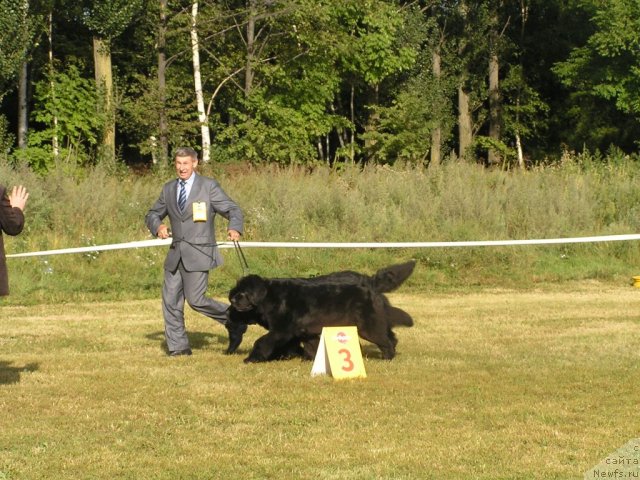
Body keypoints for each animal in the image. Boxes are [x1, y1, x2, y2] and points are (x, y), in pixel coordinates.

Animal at [225, 260, 416, 362]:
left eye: (243, 293)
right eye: (235, 292)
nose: (231, 301)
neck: (269, 297)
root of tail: (370, 284)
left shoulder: (282, 329)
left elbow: (262, 341)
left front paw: (251, 359)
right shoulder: (304, 331)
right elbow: (312, 345)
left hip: (367, 326)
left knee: (385, 339)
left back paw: (388, 357)